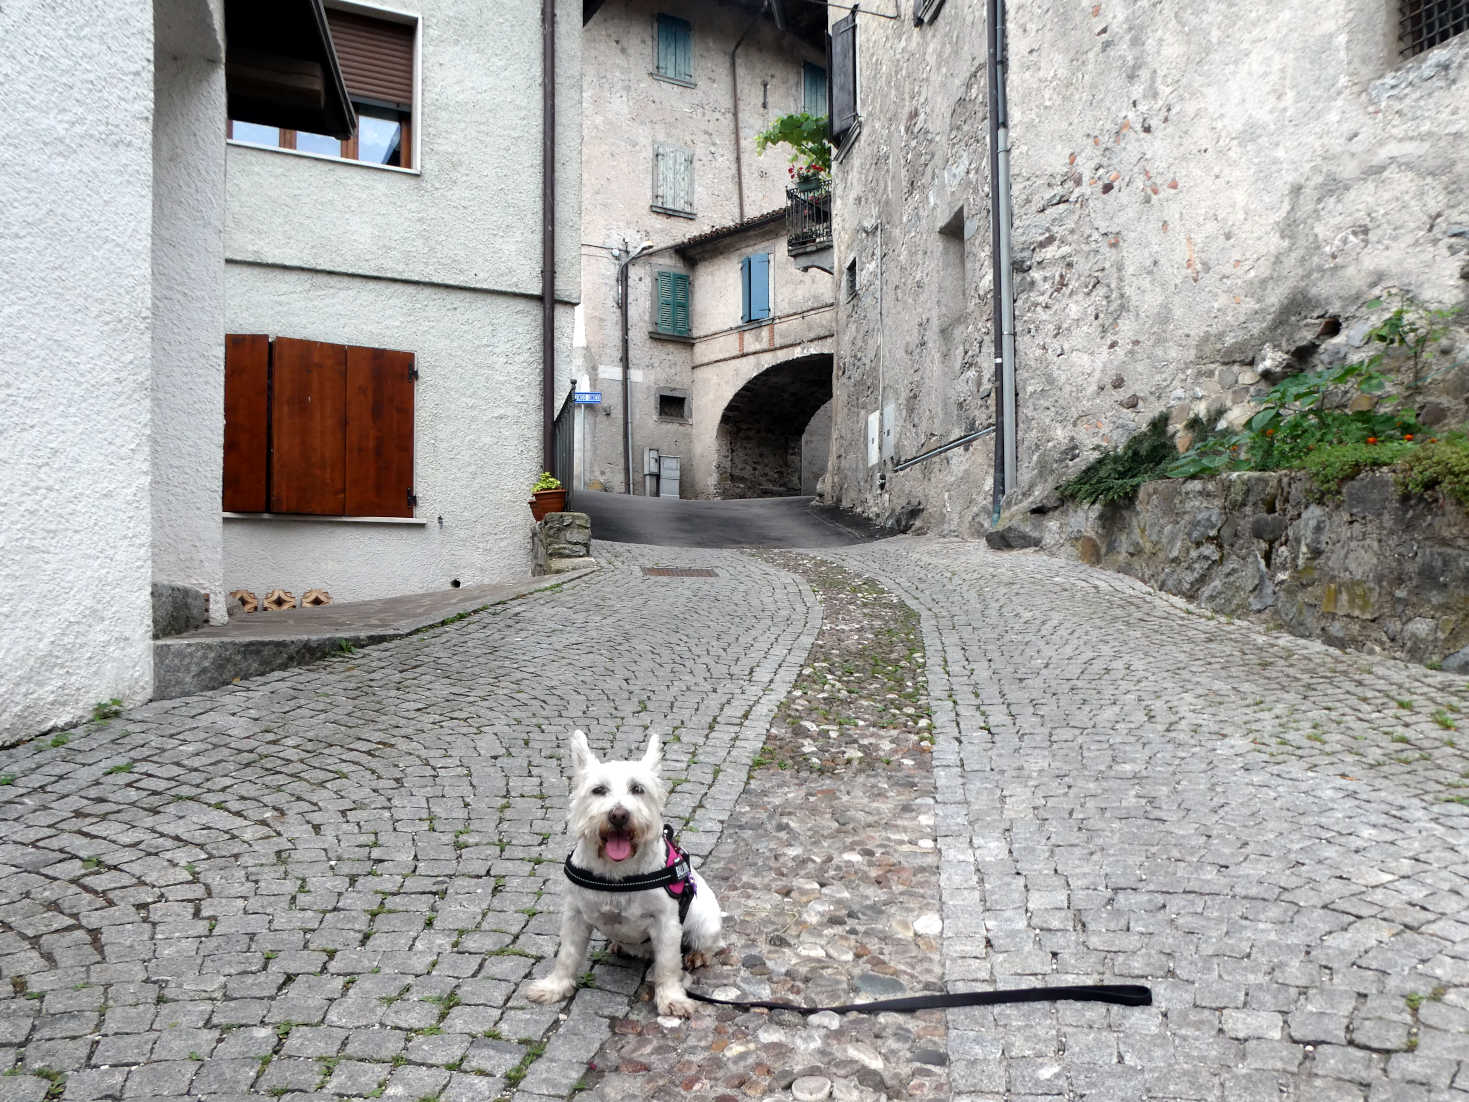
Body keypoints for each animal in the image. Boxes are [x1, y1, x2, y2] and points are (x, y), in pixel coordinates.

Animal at [528, 728, 722, 1022]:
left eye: (638, 789)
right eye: (598, 790)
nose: (618, 815)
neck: (616, 872)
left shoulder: (667, 923)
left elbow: (668, 965)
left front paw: (672, 999)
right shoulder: (575, 915)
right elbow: (567, 955)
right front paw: (555, 987)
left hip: (704, 923)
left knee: (709, 944)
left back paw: (697, 955)